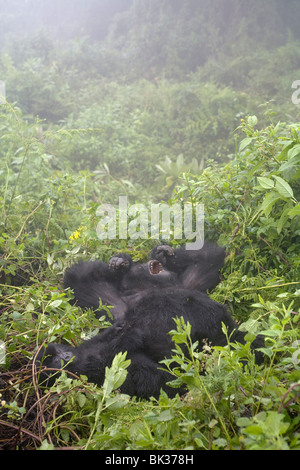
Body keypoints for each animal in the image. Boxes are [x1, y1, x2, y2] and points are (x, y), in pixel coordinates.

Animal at [36, 242, 264, 400]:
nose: (147, 263)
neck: (150, 287)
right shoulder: (115, 313)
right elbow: (80, 280)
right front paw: (119, 265)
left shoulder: (190, 284)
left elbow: (209, 257)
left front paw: (159, 254)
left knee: (246, 342)